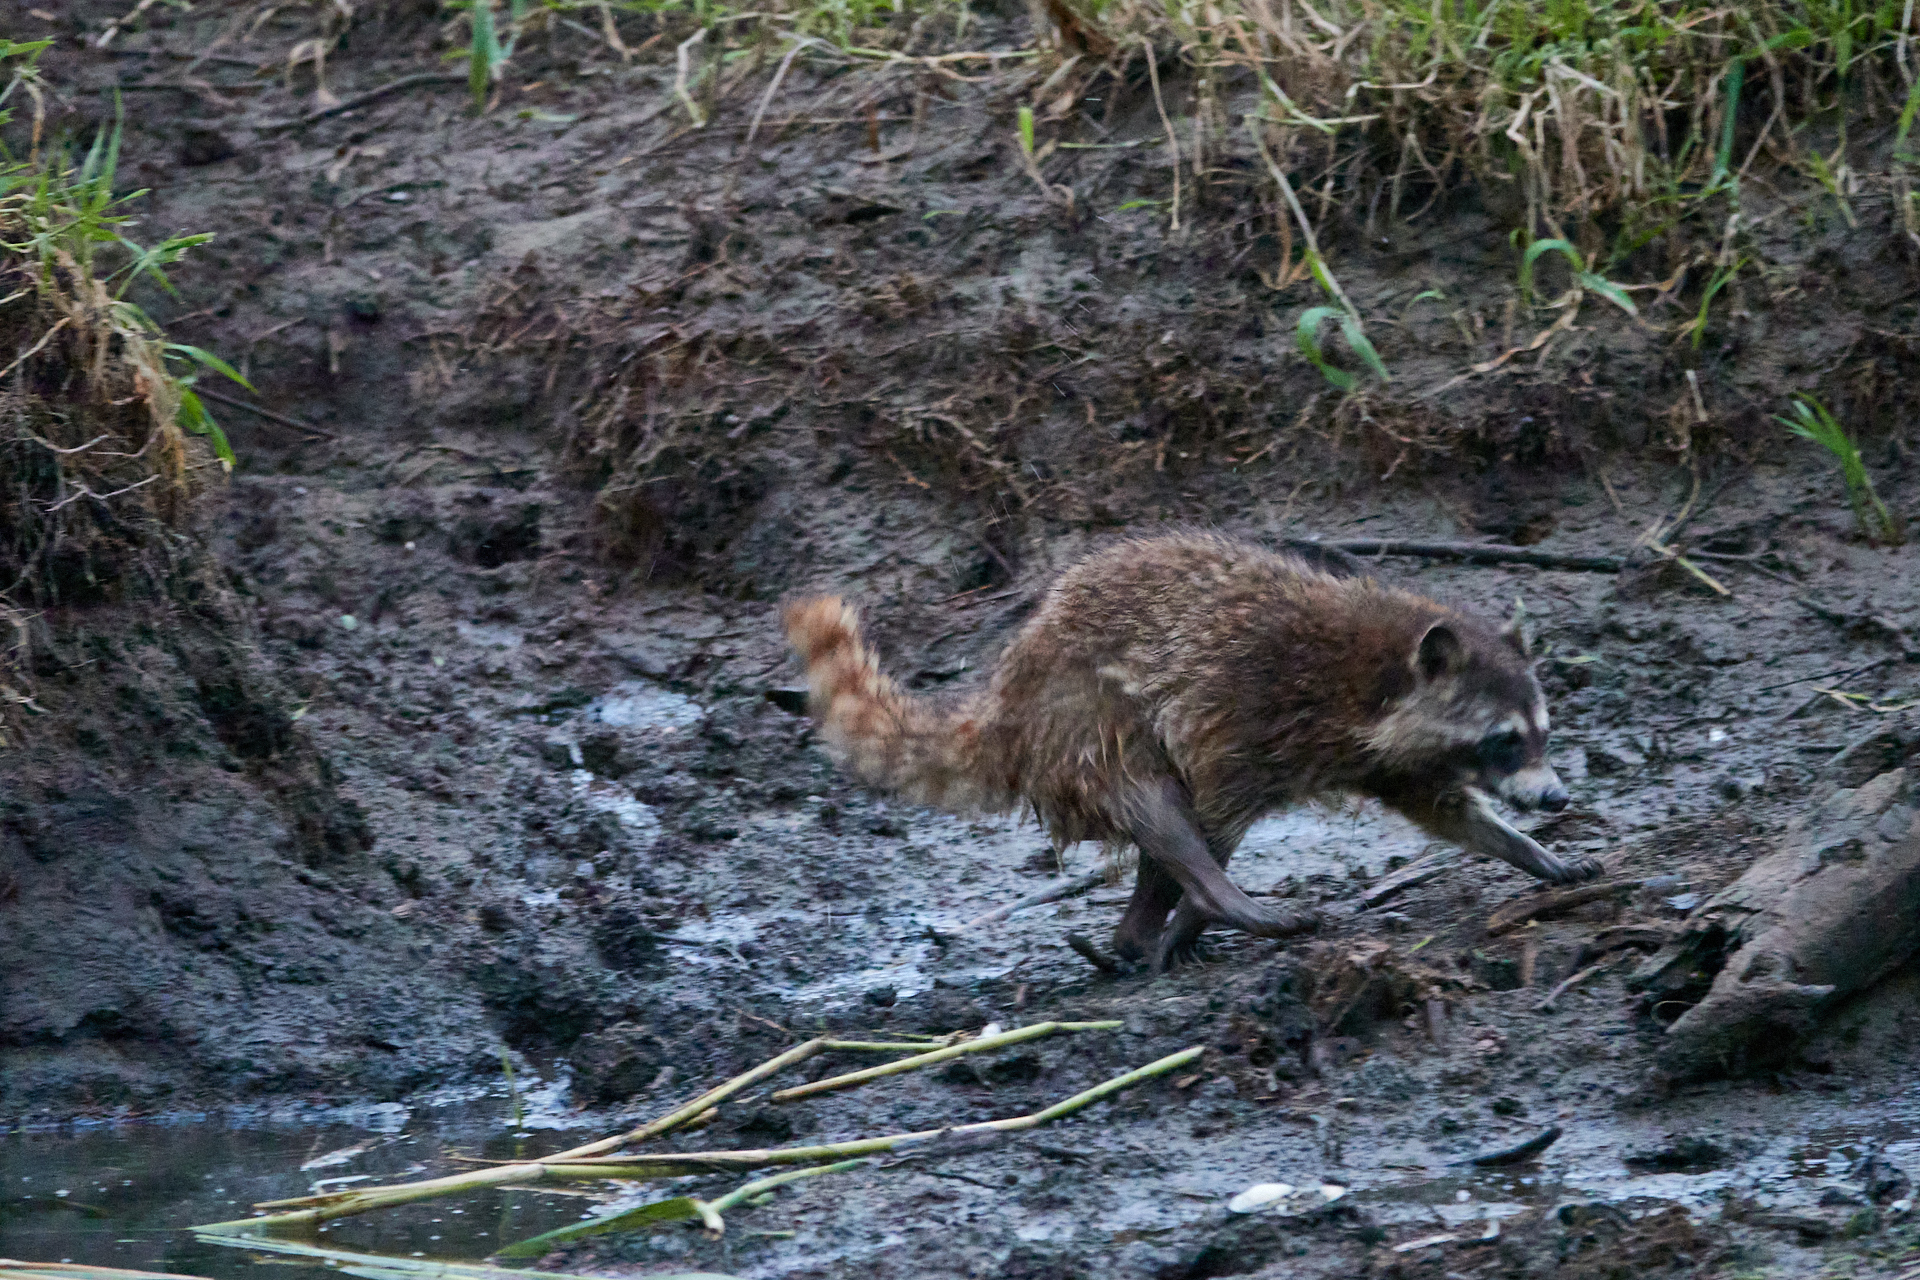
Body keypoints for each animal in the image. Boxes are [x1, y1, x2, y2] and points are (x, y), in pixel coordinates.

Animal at [784, 533, 1598, 970]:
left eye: (1543, 732)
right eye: (1505, 741)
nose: (1557, 797)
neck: (1376, 673)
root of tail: (1006, 696)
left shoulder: (1393, 759)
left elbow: (1445, 810)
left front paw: (1528, 848)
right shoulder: (1247, 708)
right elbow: (1211, 805)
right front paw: (1198, 907)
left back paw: (1140, 930)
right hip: (1085, 720)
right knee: (1158, 804)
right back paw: (1201, 904)